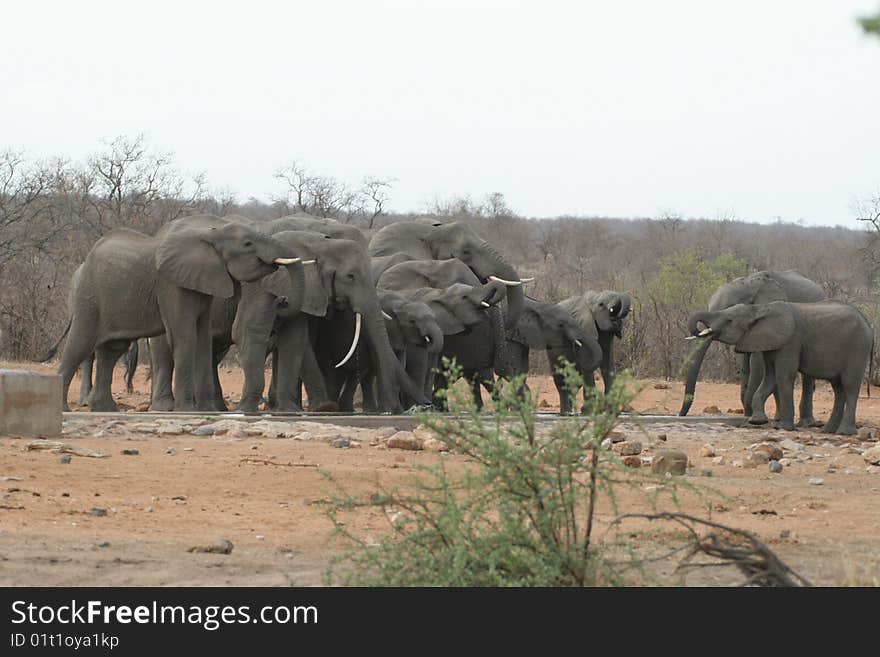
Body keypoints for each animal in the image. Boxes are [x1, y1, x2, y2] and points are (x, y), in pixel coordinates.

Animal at [57, 215, 302, 410]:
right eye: (248, 243)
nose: (283, 300)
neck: (210, 234)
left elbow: (202, 340)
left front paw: (207, 411)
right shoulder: (171, 285)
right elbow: (185, 337)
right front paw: (188, 410)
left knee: (112, 351)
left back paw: (106, 410)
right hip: (89, 297)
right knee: (80, 345)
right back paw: (65, 409)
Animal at [676, 270, 828, 418]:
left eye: (729, 316)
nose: (680, 415)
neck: (748, 284)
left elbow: (757, 363)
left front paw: (750, 415)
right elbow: (746, 365)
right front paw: (748, 414)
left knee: (807, 376)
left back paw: (807, 422)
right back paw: (778, 418)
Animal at [688, 302, 872, 436]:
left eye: (729, 320)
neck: (758, 309)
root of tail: (868, 324)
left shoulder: (791, 341)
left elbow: (784, 376)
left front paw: (783, 427)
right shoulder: (771, 343)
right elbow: (770, 378)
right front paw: (758, 421)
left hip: (858, 348)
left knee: (849, 386)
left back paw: (844, 432)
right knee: (838, 388)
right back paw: (829, 430)